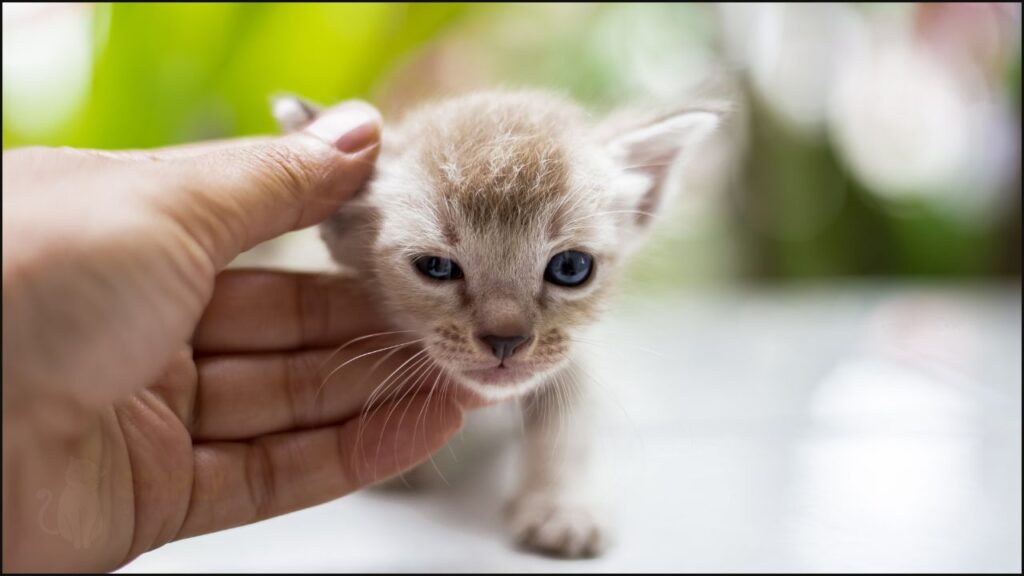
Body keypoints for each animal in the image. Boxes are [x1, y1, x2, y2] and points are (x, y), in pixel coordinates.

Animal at [272, 89, 720, 557]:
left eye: (571, 268)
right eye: (436, 267)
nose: (506, 340)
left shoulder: (571, 356)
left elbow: (568, 418)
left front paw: (562, 506)